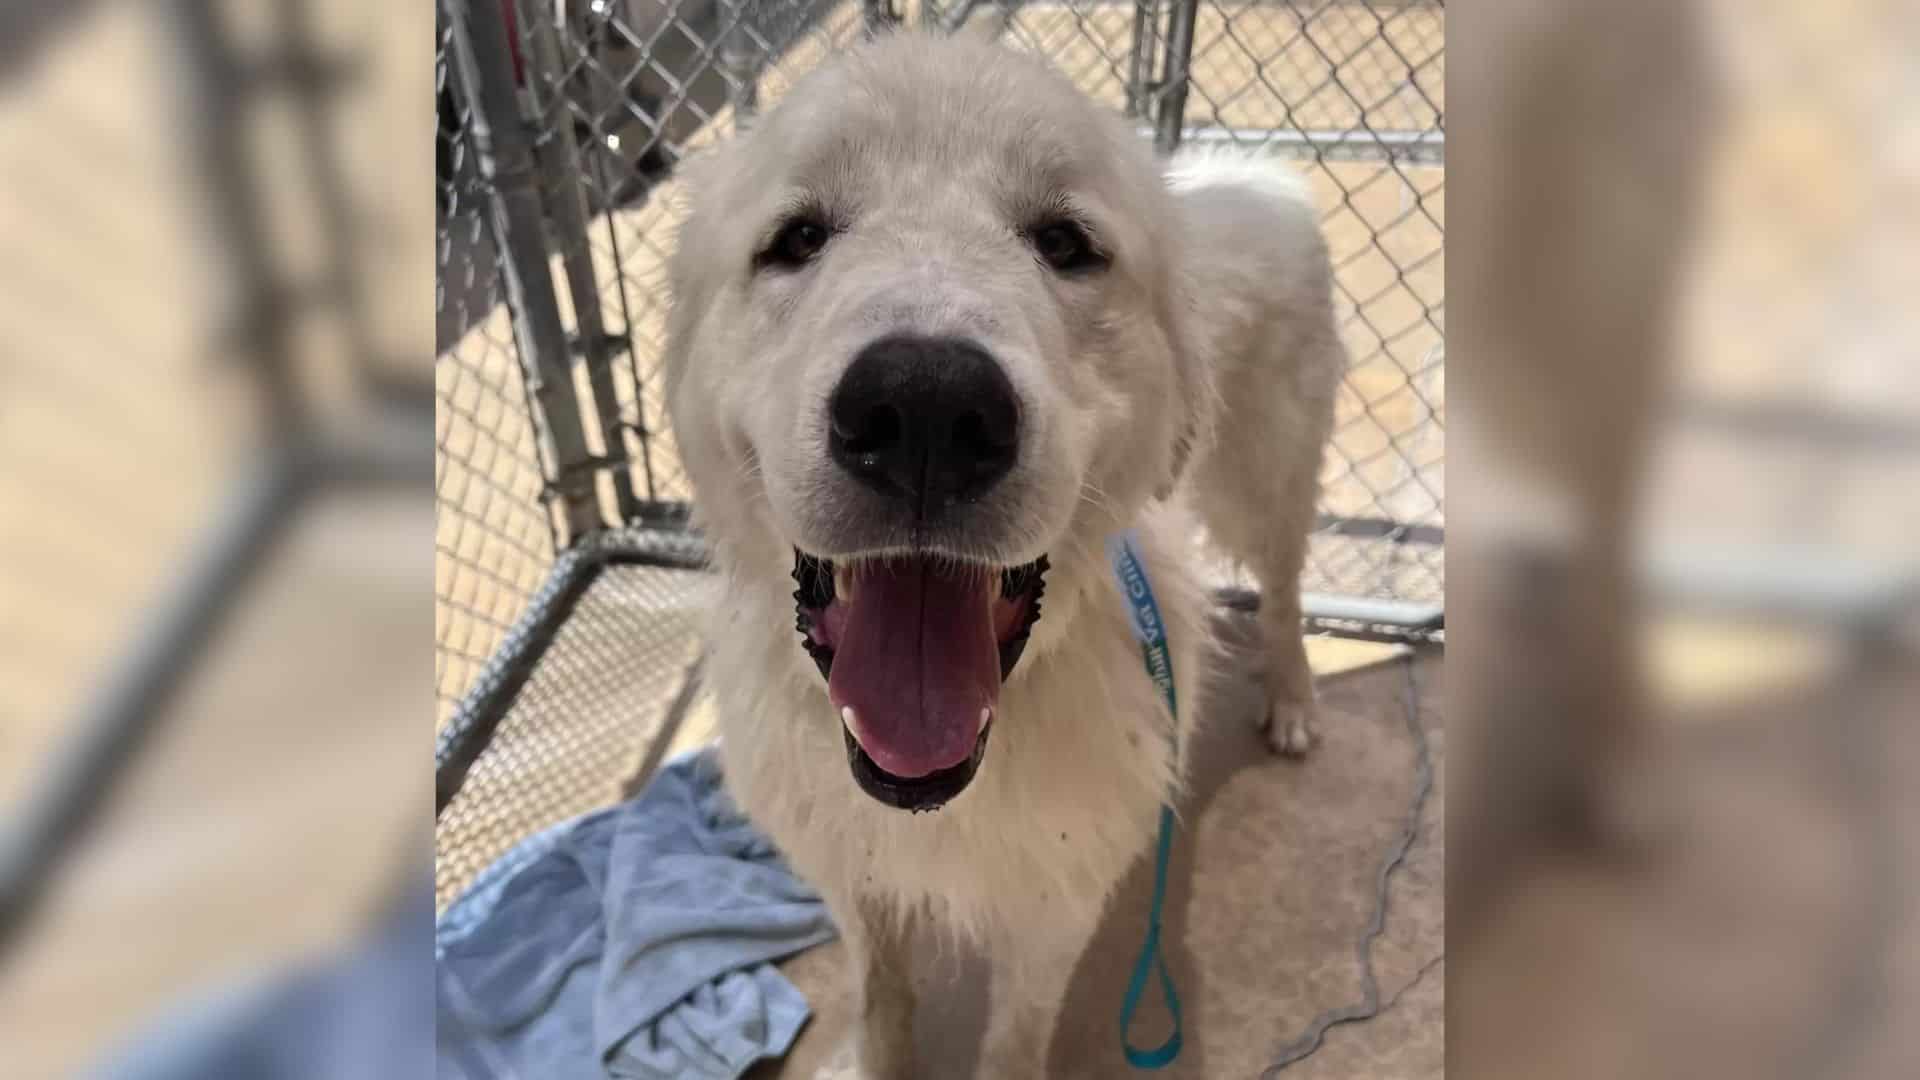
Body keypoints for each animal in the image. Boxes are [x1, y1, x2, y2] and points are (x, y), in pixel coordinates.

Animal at [660, 29, 1336, 1068]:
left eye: (1065, 244)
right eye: (799, 239)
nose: (926, 411)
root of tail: (1241, 173)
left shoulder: (1054, 906)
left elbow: (1013, 1041)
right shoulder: (859, 881)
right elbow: (882, 1000)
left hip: (1263, 477)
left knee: (1286, 584)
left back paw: (1295, 702)